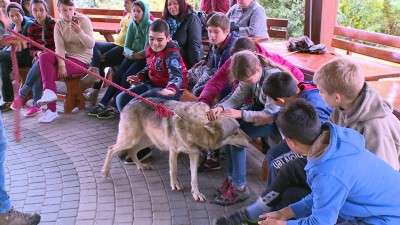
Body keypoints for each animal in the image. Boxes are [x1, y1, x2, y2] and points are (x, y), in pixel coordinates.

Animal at [101, 98, 250, 200]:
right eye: (235, 132)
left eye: (239, 128)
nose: (250, 140)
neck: (194, 125)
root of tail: (130, 101)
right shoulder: (173, 151)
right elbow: (173, 170)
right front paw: (175, 185)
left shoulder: (194, 155)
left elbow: (194, 178)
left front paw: (196, 194)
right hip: (131, 140)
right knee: (111, 148)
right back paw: (105, 172)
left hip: (146, 141)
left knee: (132, 151)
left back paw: (141, 166)